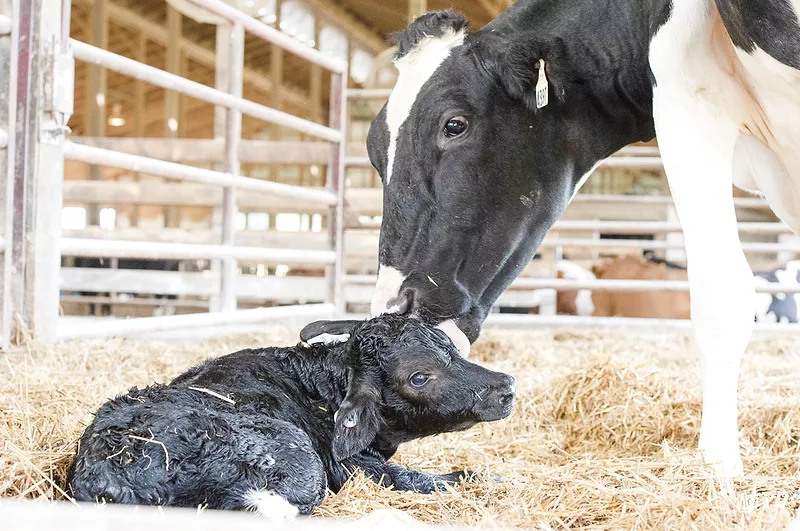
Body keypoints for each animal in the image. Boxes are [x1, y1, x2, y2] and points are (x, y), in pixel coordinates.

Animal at [365, 1, 800, 477]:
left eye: (454, 125)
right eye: (372, 149)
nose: (394, 310)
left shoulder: (690, 100)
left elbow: (721, 297)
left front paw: (717, 468)